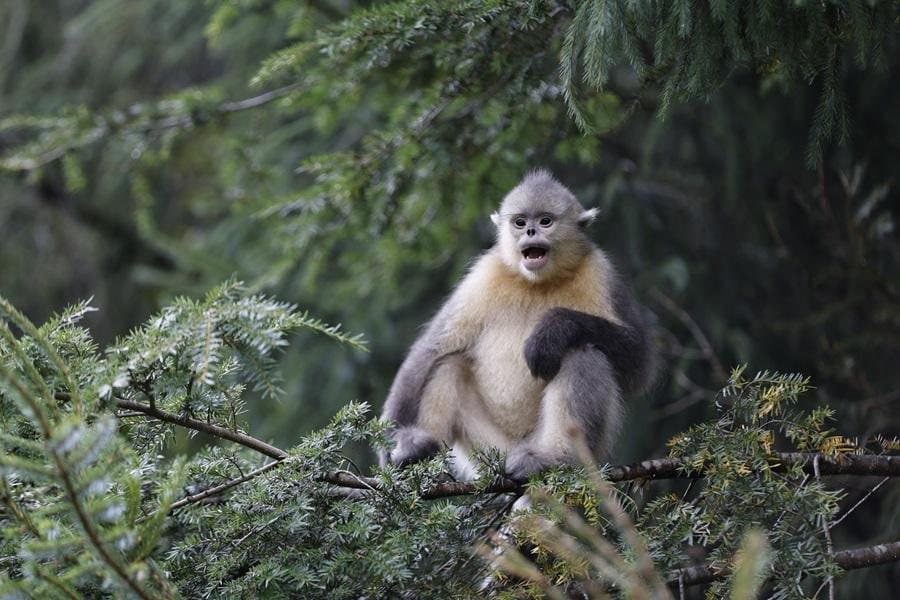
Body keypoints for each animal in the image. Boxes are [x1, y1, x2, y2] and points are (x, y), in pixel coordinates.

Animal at [380, 170, 655, 482]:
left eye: (545, 221)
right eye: (520, 222)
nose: (530, 232)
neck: (538, 284)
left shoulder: (600, 272)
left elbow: (639, 365)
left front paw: (552, 330)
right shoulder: (485, 274)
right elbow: (431, 349)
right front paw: (391, 445)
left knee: (583, 352)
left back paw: (556, 458)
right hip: (490, 450)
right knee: (449, 365)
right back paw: (418, 452)